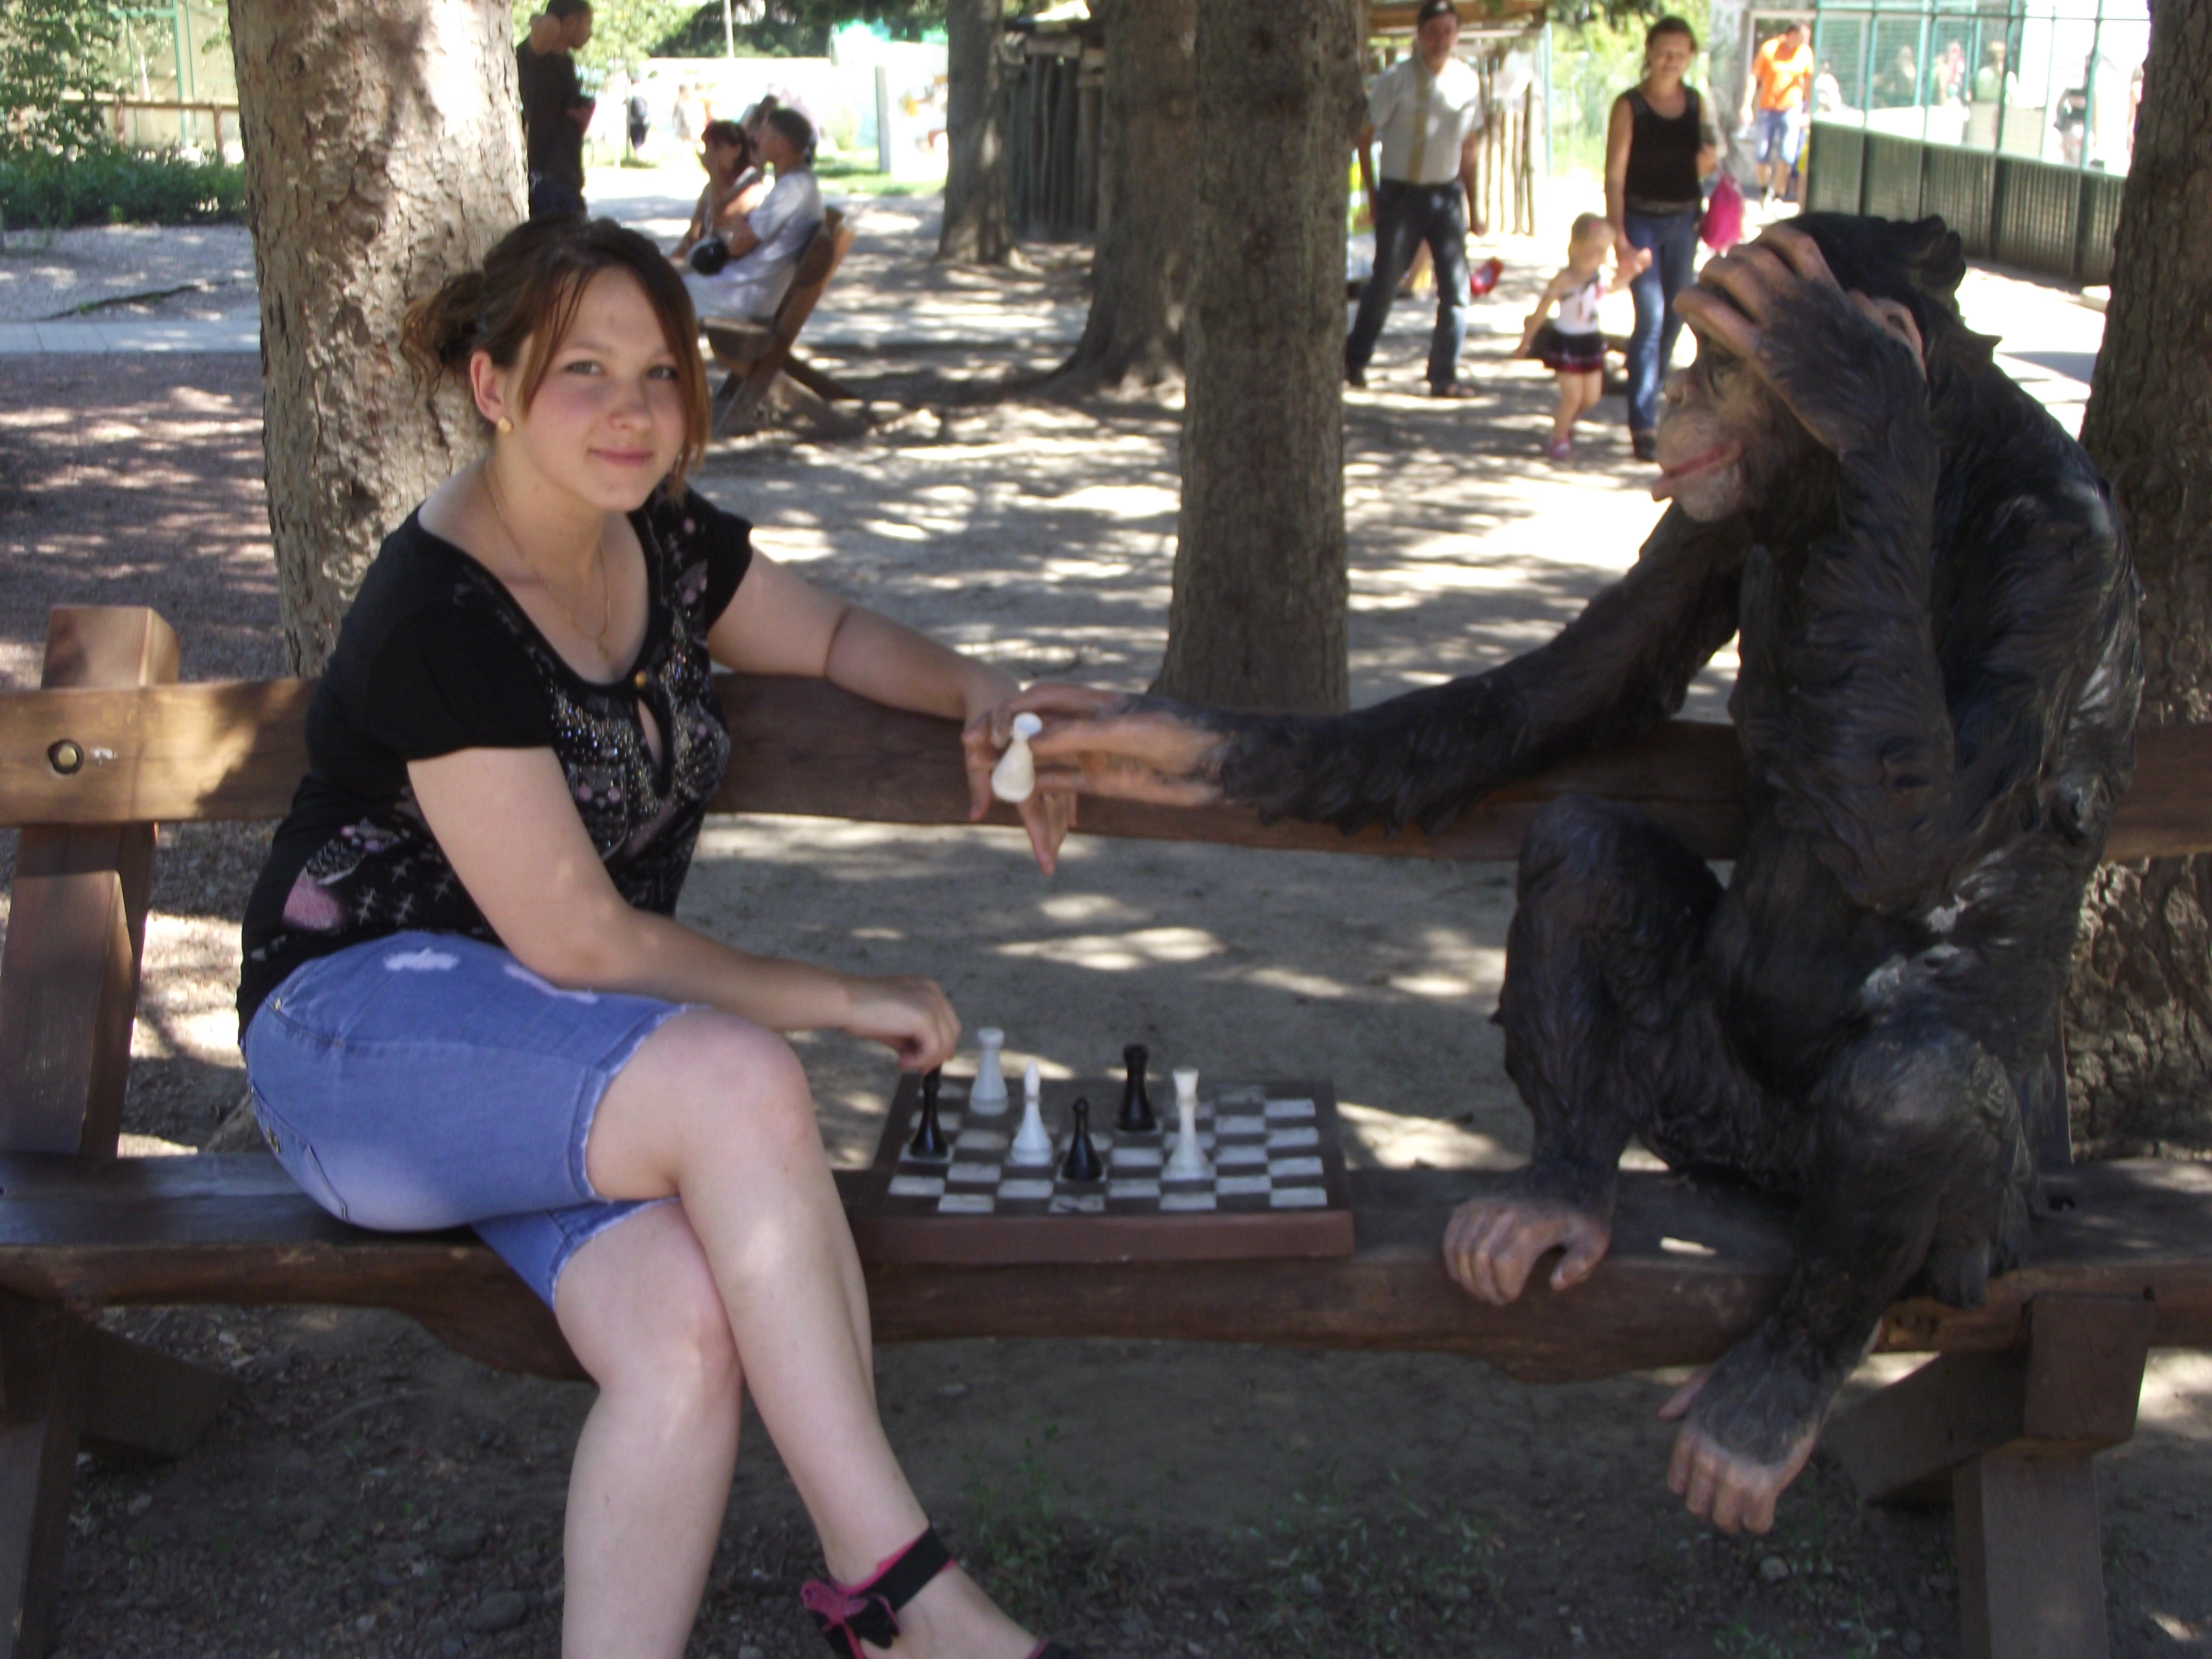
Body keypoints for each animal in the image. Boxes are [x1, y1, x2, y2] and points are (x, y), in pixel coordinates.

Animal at [1014, 216, 2142, 1534]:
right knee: (1577, 849)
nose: (1684, 397)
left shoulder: (2060, 549)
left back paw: (1770, 1392)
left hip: (1979, 1238)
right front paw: (1156, 742)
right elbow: (1546, 698)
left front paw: (1860, 382)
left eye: (1728, 355)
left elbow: (1912, 836)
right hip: (1698, 1101)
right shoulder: (1713, 521)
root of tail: (1758, 1177)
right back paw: (1560, 1190)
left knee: (1906, 1087)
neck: (1926, 474)